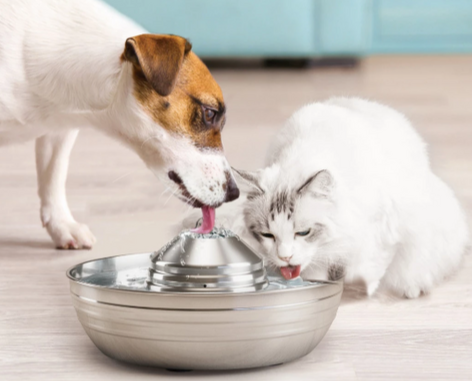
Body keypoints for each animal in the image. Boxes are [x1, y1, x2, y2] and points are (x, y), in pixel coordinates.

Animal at [232, 97, 468, 296]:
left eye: (304, 232)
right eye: (267, 235)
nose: (285, 257)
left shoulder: (379, 230)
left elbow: (370, 267)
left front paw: (363, 288)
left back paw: (412, 289)